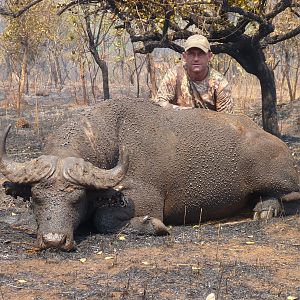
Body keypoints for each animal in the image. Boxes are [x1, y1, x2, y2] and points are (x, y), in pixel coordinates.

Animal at [0, 97, 300, 250]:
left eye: (77, 199)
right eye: (36, 199)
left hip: (277, 177)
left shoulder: (145, 200)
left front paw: (151, 226)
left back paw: (267, 208)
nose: (54, 240)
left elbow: (103, 219)